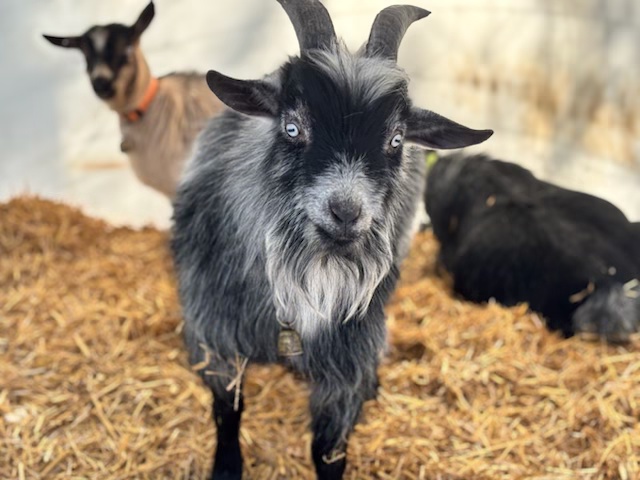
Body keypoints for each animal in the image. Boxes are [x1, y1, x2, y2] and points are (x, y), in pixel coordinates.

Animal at [171, 1, 493, 478]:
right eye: (291, 127)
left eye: (396, 139)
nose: (346, 212)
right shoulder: (213, 330)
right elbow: (228, 409)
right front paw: (226, 467)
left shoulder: (345, 357)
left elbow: (329, 449)